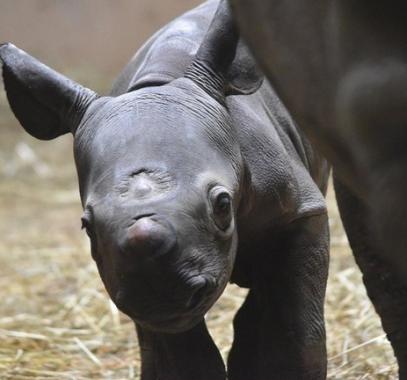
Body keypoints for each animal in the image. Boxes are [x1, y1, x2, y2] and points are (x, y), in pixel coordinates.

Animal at [0, 0, 330, 380]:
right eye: (87, 227)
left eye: (222, 205)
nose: (157, 288)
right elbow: (180, 356)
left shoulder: (299, 213)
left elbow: (289, 329)